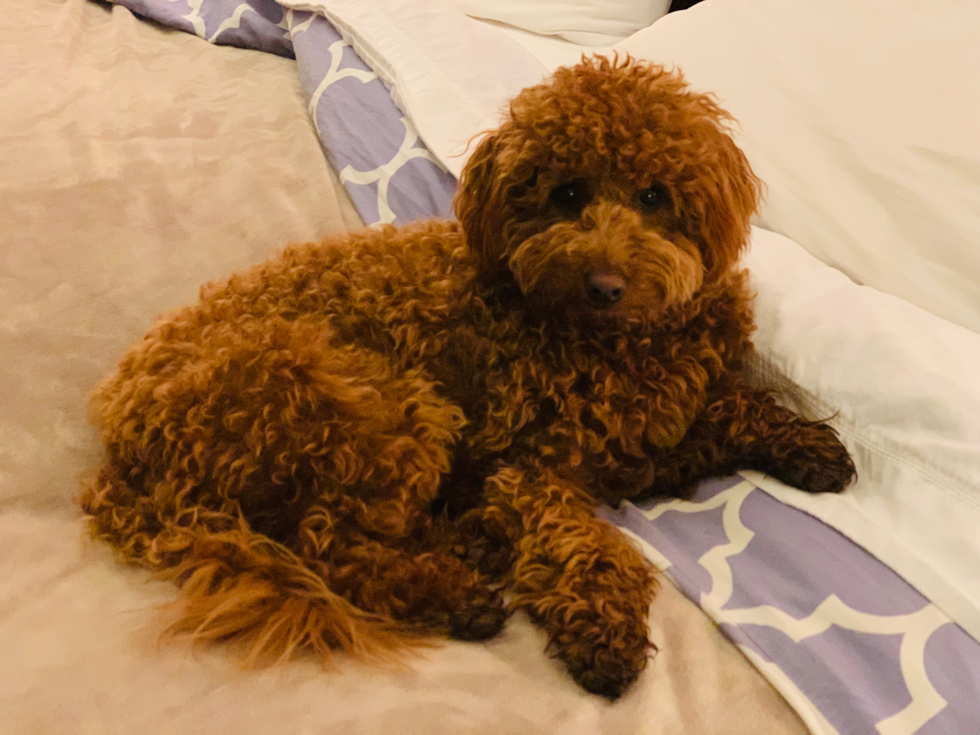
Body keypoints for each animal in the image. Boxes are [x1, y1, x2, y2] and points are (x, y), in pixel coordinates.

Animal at [80, 54, 852, 700]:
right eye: (567, 193)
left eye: (656, 196)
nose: (605, 284)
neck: (610, 341)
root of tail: (123, 449)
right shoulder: (529, 469)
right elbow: (584, 542)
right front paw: (605, 629)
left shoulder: (644, 437)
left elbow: (729, 410)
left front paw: (806, 444)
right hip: (363, 405)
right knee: (330, 548)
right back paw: (455, 590)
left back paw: (470, 540)